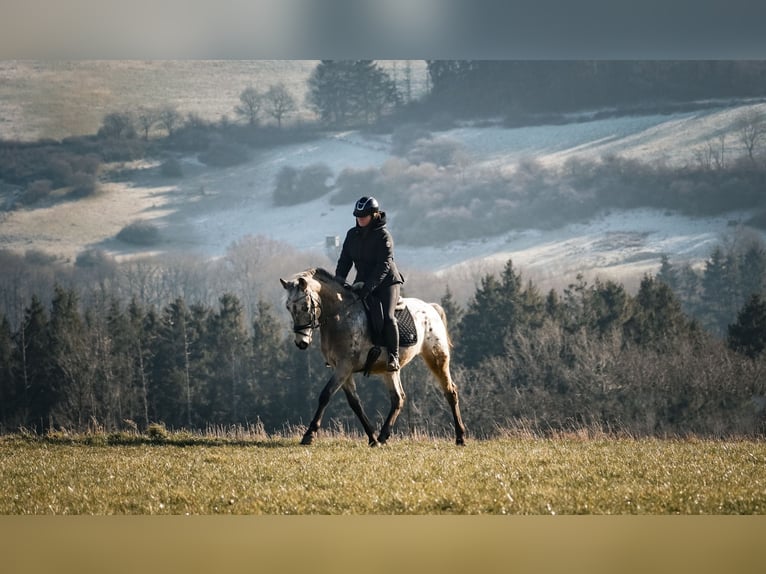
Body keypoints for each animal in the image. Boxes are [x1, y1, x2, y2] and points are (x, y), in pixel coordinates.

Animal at [280, 270, 464, 450]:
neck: (340, 317)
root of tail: (431, 308)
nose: (301, 342)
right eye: (288, 308)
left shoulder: (344, 367)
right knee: (398, 398)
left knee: (450, 391)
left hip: (437, 358)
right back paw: (383, 436)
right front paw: (373, 438)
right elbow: (355, 403)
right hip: (390, 370)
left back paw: (460, 437)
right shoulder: (341, 369)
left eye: (305, 307)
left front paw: (309, 434)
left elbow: (325, 395)